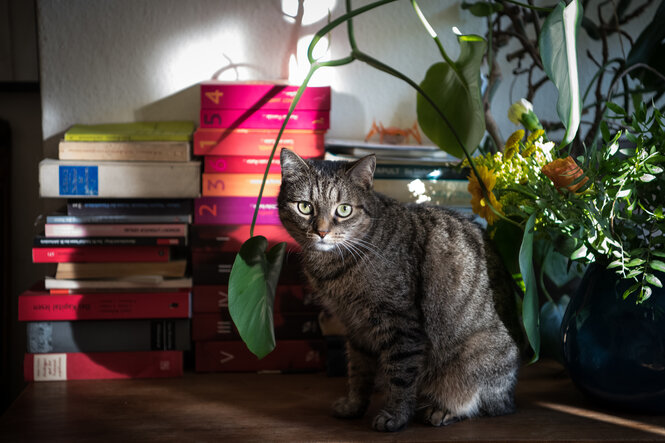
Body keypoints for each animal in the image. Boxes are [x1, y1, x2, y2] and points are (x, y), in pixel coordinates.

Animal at [274, 147, 520, 432]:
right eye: (305, 207)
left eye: (344, 210)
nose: (322, 232)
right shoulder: (355, 328)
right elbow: (358, 371)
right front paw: (353, 406)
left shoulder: (400, 322)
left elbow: (400, 375)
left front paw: (395, 416)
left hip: (476, 357)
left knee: (487, 404)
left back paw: (442, 410)